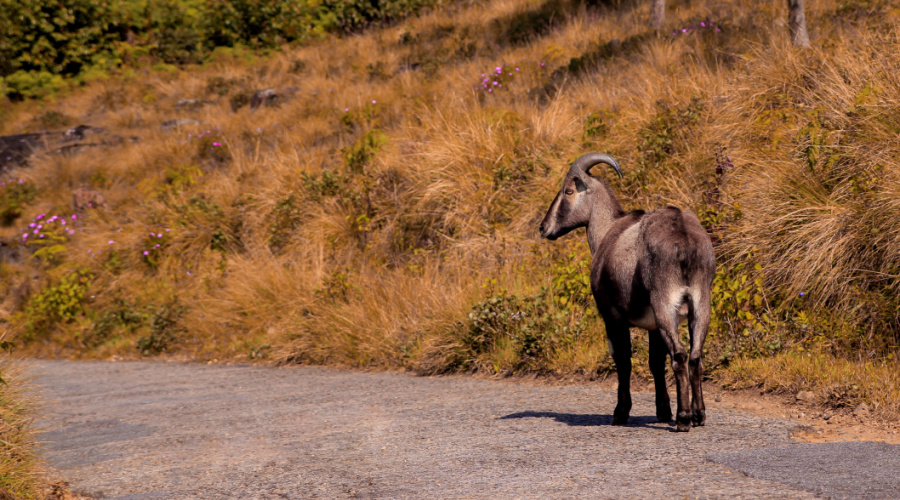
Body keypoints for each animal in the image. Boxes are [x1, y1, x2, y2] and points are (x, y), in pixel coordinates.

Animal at [536, 151, 712, 430]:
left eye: (568, 191)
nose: (544, 228)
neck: (609, 230)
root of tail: (684, 242)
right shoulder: (653, 326)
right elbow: (655, 362)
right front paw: (663, 411)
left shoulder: (612, 317)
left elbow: (623, 360)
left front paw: (620, 413)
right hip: (700, 303)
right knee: (695, 356)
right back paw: (698, 415)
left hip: (666, 305)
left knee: (680, 355)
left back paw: (684, 418)